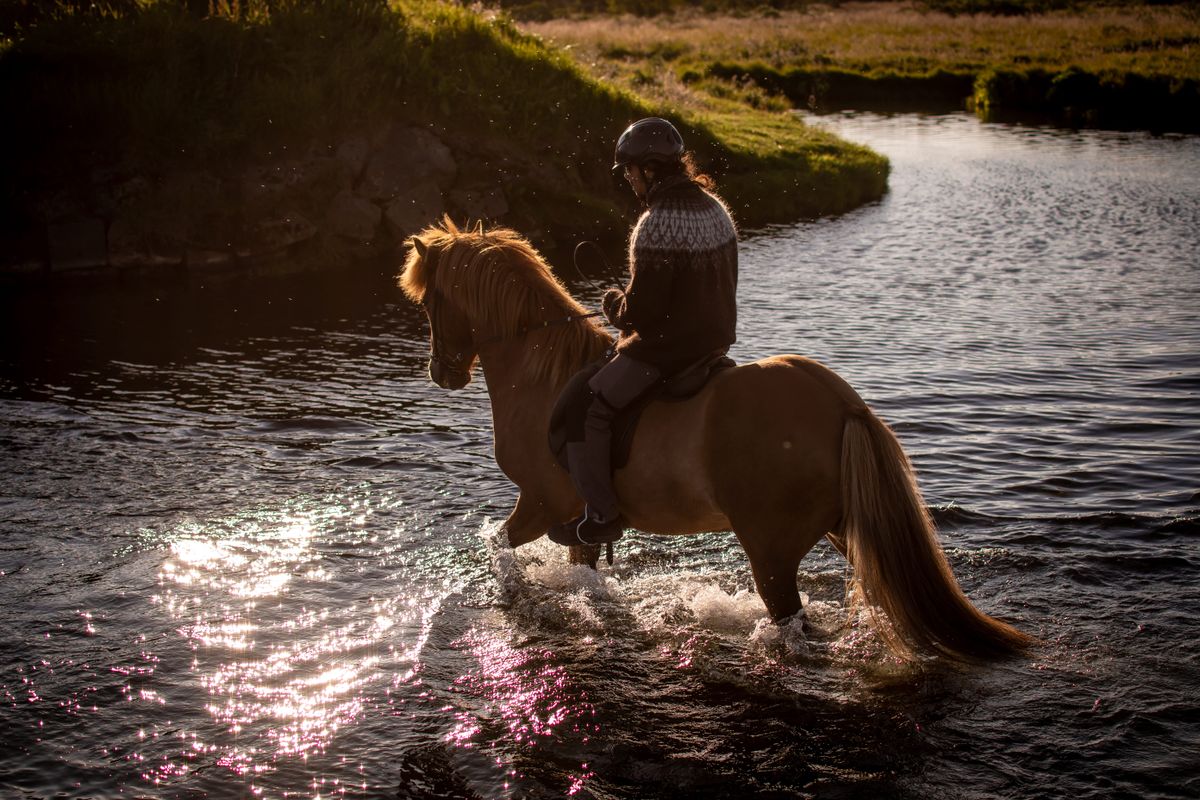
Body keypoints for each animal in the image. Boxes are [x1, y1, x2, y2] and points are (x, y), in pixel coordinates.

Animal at [399, 217, 1033, 662]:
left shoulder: (542, 501)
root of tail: (840, 402)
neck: (542, 376)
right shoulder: (574, 518)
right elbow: (583, 573)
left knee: (791, 621)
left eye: (430, 301)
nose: (441, 372)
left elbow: (500, 550)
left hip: (771, 549)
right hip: (846, 528)